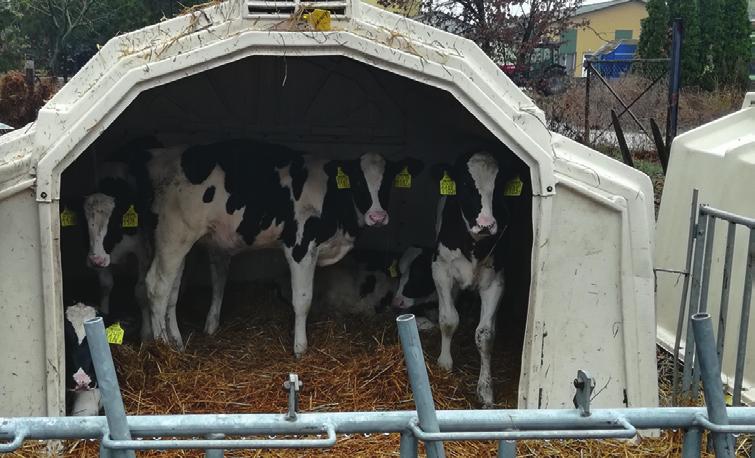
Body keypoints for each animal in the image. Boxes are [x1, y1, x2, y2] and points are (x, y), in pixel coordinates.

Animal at [139, 140, 422, 354]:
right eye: (358, 181)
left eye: (388, 181)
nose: (377, 216)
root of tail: (163, 155)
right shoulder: (300, 247)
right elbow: (303, 300)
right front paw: (300, 348)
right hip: (174, 234)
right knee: (156, 286)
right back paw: (162, 346)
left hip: (178, 241)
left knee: (172, 289)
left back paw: (176, 343)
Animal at [432, 151, 512, 408]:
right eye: (466, 184)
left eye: (499, 187)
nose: (486, 224)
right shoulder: (440, 269)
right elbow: (448, 319)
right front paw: (444, 364)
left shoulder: (496, 282)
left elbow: (485, 335)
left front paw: (485, 390)